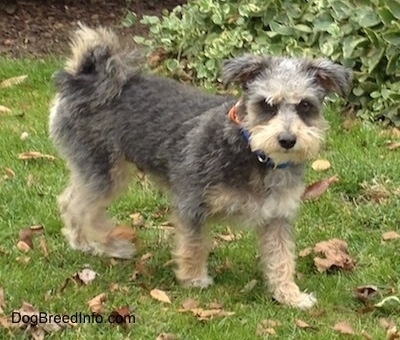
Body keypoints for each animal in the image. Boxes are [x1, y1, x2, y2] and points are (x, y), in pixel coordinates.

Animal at [50, 25, 354, 310]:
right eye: (267, 104)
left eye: (305, 105)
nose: (288, 140)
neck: (251, 153)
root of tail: (83, 81)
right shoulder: (192, 204)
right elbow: (194, 245)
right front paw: (194, 278)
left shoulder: (277, 218)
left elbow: (281, 258)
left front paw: (289, 294)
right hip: (105, 173)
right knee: (79, 208)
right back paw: (111, 245)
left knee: (70, 202)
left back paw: (84, 242)